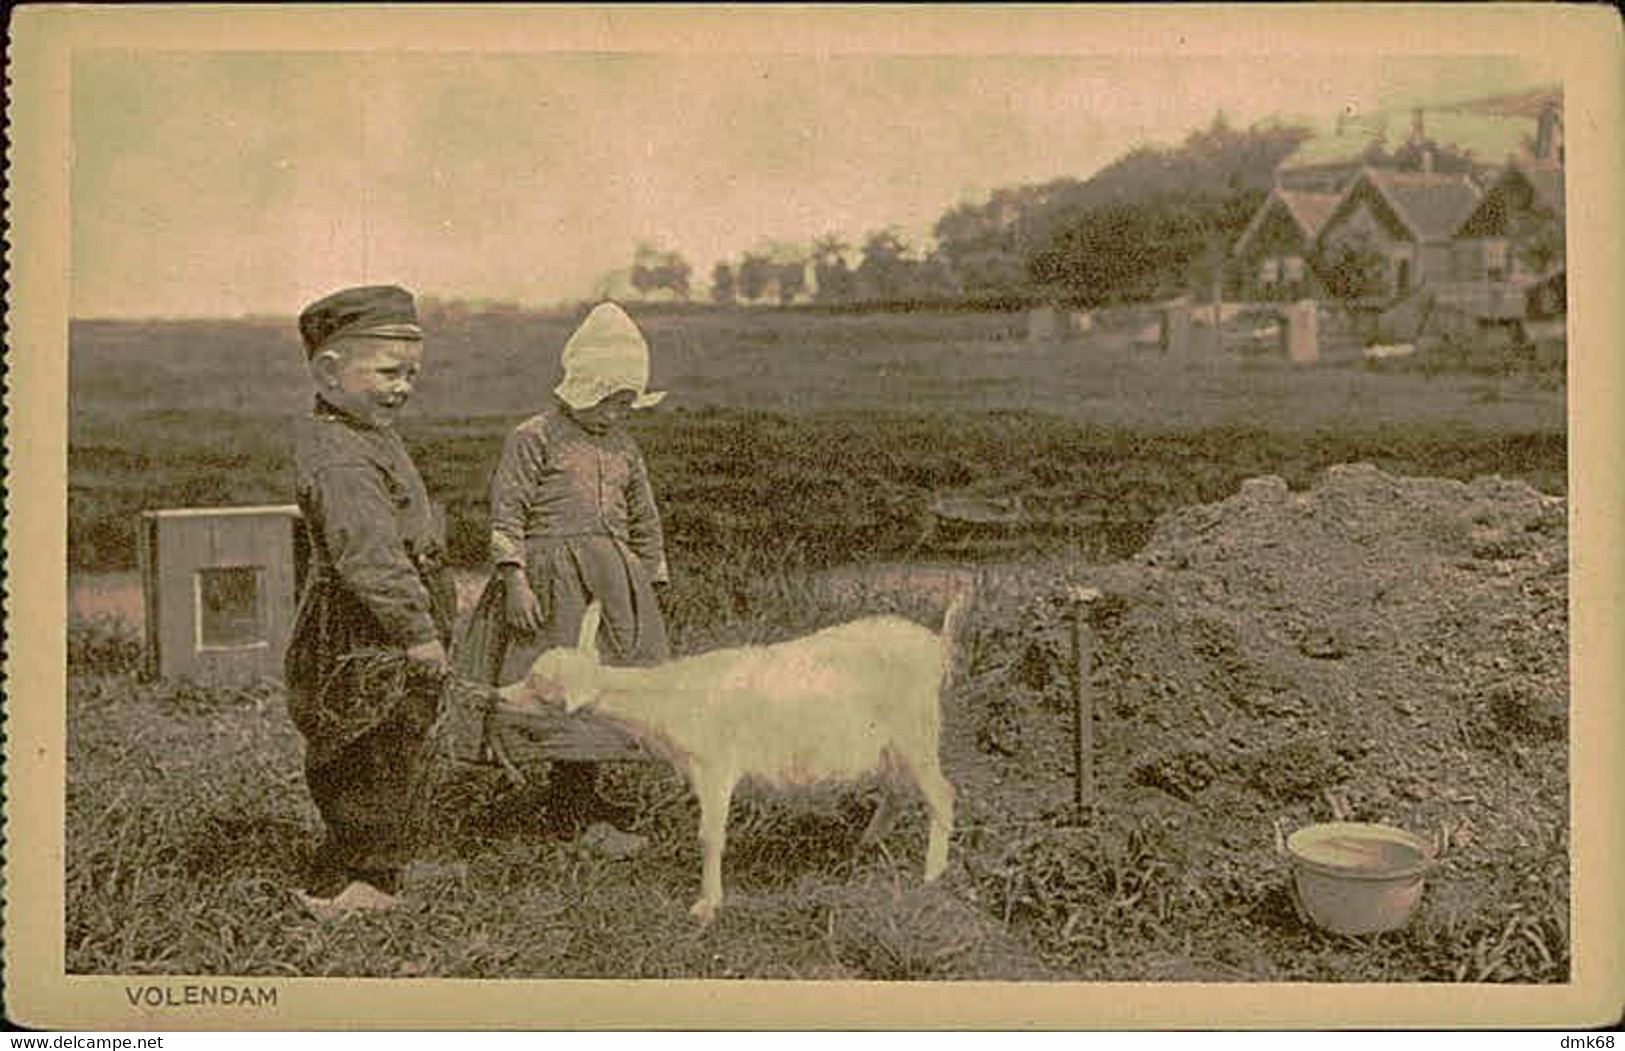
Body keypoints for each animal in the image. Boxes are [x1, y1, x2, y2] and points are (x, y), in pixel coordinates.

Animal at [497, 597, 962, 922]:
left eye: (538, 684)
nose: (498, 694)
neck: (668, 699)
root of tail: (937, 646)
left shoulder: (715, 765)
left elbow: (710, 836)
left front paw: (706, 906)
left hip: (916, 732)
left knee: (941, 794)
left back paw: (931, 877)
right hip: (892, 743)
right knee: (899, 789)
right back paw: (868, 842)